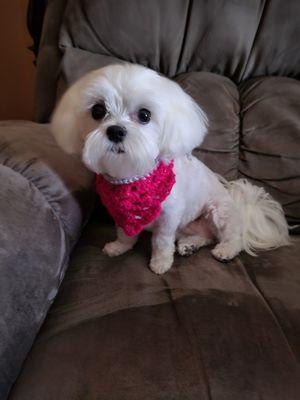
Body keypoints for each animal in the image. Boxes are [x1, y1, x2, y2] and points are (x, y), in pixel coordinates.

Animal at [51, 63, 290, 276]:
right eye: (98, 111)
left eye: (145, 115)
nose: (116, 131)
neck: (132, 176)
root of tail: (242, 206)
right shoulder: (120, 213)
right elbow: (124, 233)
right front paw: (119, 247)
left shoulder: (169, 217)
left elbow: (161, 242)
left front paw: (160, 264)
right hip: (188, 225)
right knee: (208, 237)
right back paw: (189, 245)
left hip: (219, 211)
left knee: (231, 237)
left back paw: (225, 250)